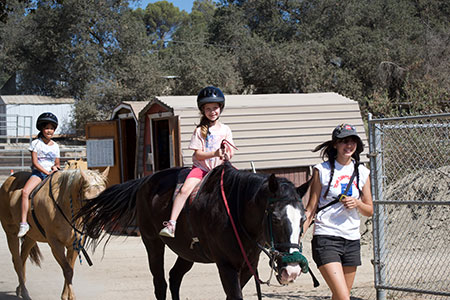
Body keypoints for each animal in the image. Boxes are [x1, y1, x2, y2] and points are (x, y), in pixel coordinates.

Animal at [0, 169, 109, 300]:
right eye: (87, 200)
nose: (97, 228)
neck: (62, 204)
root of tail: (8, 181)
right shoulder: (55, 244)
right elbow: (67, 270)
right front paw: (68, 296)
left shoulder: (74, 244)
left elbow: (70, 268)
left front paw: (67, 295)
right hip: (11, 233)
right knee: (17, 261)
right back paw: (25, 292)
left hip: (32, 237)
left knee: (22, 259)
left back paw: (20, 289)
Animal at [77, 164, 312, 300]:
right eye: (276, 218)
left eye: (303, 219)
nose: (292, 270)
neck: (235, 210)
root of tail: (146, 180)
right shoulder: (226, 266)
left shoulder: (247, 267)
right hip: (152, 243)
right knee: (160, 284)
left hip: (186, 253)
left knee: (174, 277)